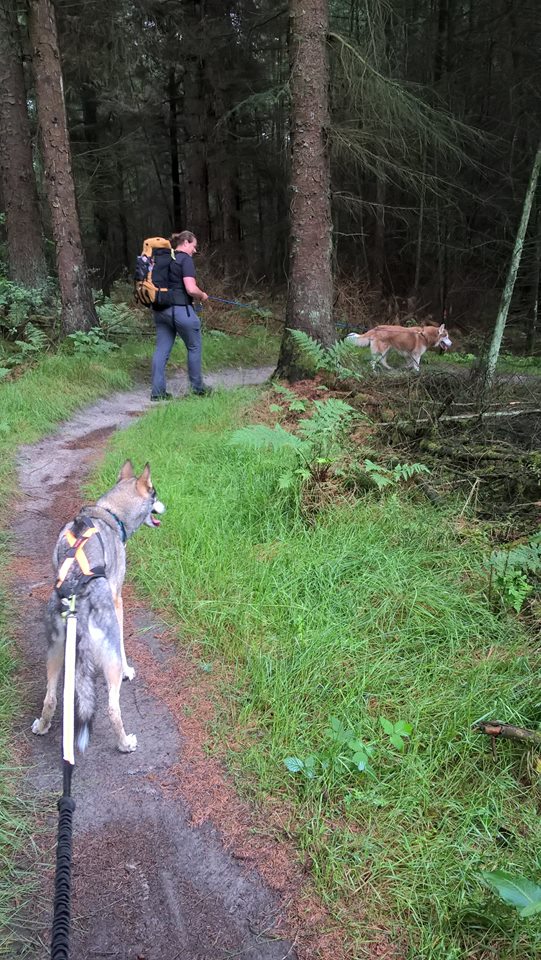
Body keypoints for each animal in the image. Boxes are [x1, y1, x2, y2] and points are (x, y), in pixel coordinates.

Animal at [30, 462, 162, 752]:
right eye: (155, 494)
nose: (165, 507)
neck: (111, 513)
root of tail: (76, 599)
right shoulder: (118, 600)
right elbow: (124, 646)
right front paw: (128, 670)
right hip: (107, 662)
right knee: (113, 709)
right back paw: (126, 743)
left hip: (54, 653)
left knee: (51, 699)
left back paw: (42, 727)